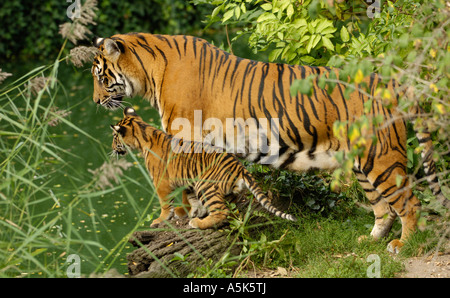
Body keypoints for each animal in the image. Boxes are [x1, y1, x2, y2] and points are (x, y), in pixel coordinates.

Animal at [110, 106, 298, 229]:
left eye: (114, 137)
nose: (112, 149)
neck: (143, 133)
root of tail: (240, 168)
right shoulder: (187, 180)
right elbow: (191, 198)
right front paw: (195, 211)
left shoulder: (161, 182)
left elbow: (164, 204)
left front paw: (160, 220)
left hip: (205, 183)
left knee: (222, 211)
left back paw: (198, 223)